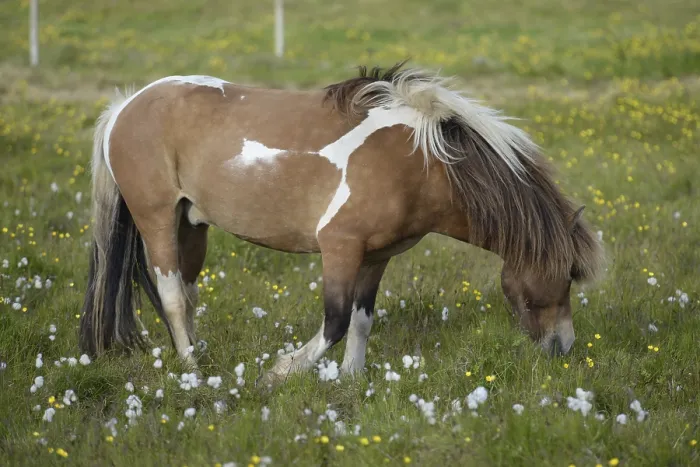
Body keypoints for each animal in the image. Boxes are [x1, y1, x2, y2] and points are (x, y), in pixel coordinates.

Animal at [79, 62, 605, 384]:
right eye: (564, 276)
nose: (562, 348)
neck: (423, 163)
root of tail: (126, 107)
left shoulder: (376, 256)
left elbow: (361, 318)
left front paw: (352, 378)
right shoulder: (340, 248)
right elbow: (333, 321)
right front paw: (280, 373)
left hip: (192, 225)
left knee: (187, 295)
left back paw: (199, 355)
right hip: (157, 218)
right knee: (171, 293)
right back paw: (193, 372)